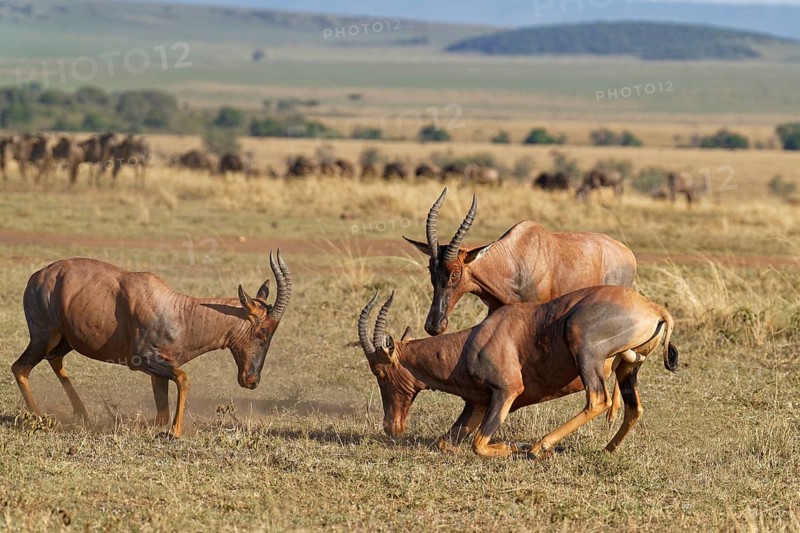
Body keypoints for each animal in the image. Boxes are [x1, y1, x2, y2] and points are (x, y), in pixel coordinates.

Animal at [12, 252, 292, 438]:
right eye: (263, 331)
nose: (251, 380)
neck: (180, 312)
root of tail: (36, 277)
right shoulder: (142, 361)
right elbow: (184, 379)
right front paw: (175, 432)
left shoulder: (160, 370)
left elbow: (161, 414)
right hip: (44, 336)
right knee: (20, 367)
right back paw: (41, 418)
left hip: (66, 340)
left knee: (54, 360)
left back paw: (82, 414)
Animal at [358, 289, 678, 458]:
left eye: (379, 370)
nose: (391, 427)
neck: (476, 339)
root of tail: (653, 308)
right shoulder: (477, 405)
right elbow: (445, 442)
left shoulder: (506, 393)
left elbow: (478, 444)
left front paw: (515, 446)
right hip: (628, 368)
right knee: (634, 408)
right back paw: (605, 450)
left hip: (587, 354)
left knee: (598, 401)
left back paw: (538, 447)